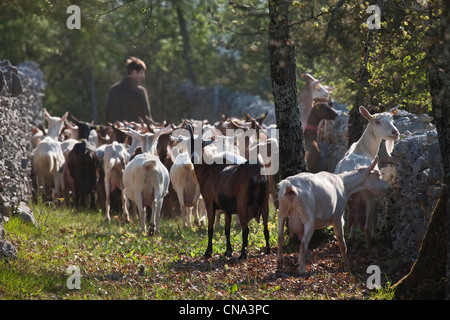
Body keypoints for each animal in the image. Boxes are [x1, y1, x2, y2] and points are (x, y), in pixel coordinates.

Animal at [334, 106, 400, 246]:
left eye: (392, 119)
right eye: (377, 122)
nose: (395, 132)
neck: (363, 149)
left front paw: (352, 236)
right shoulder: (377, 193)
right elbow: (374, 216)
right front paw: (375, 236)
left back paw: (350, 238)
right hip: (369, 195)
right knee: (366, 225)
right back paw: (369, 244)